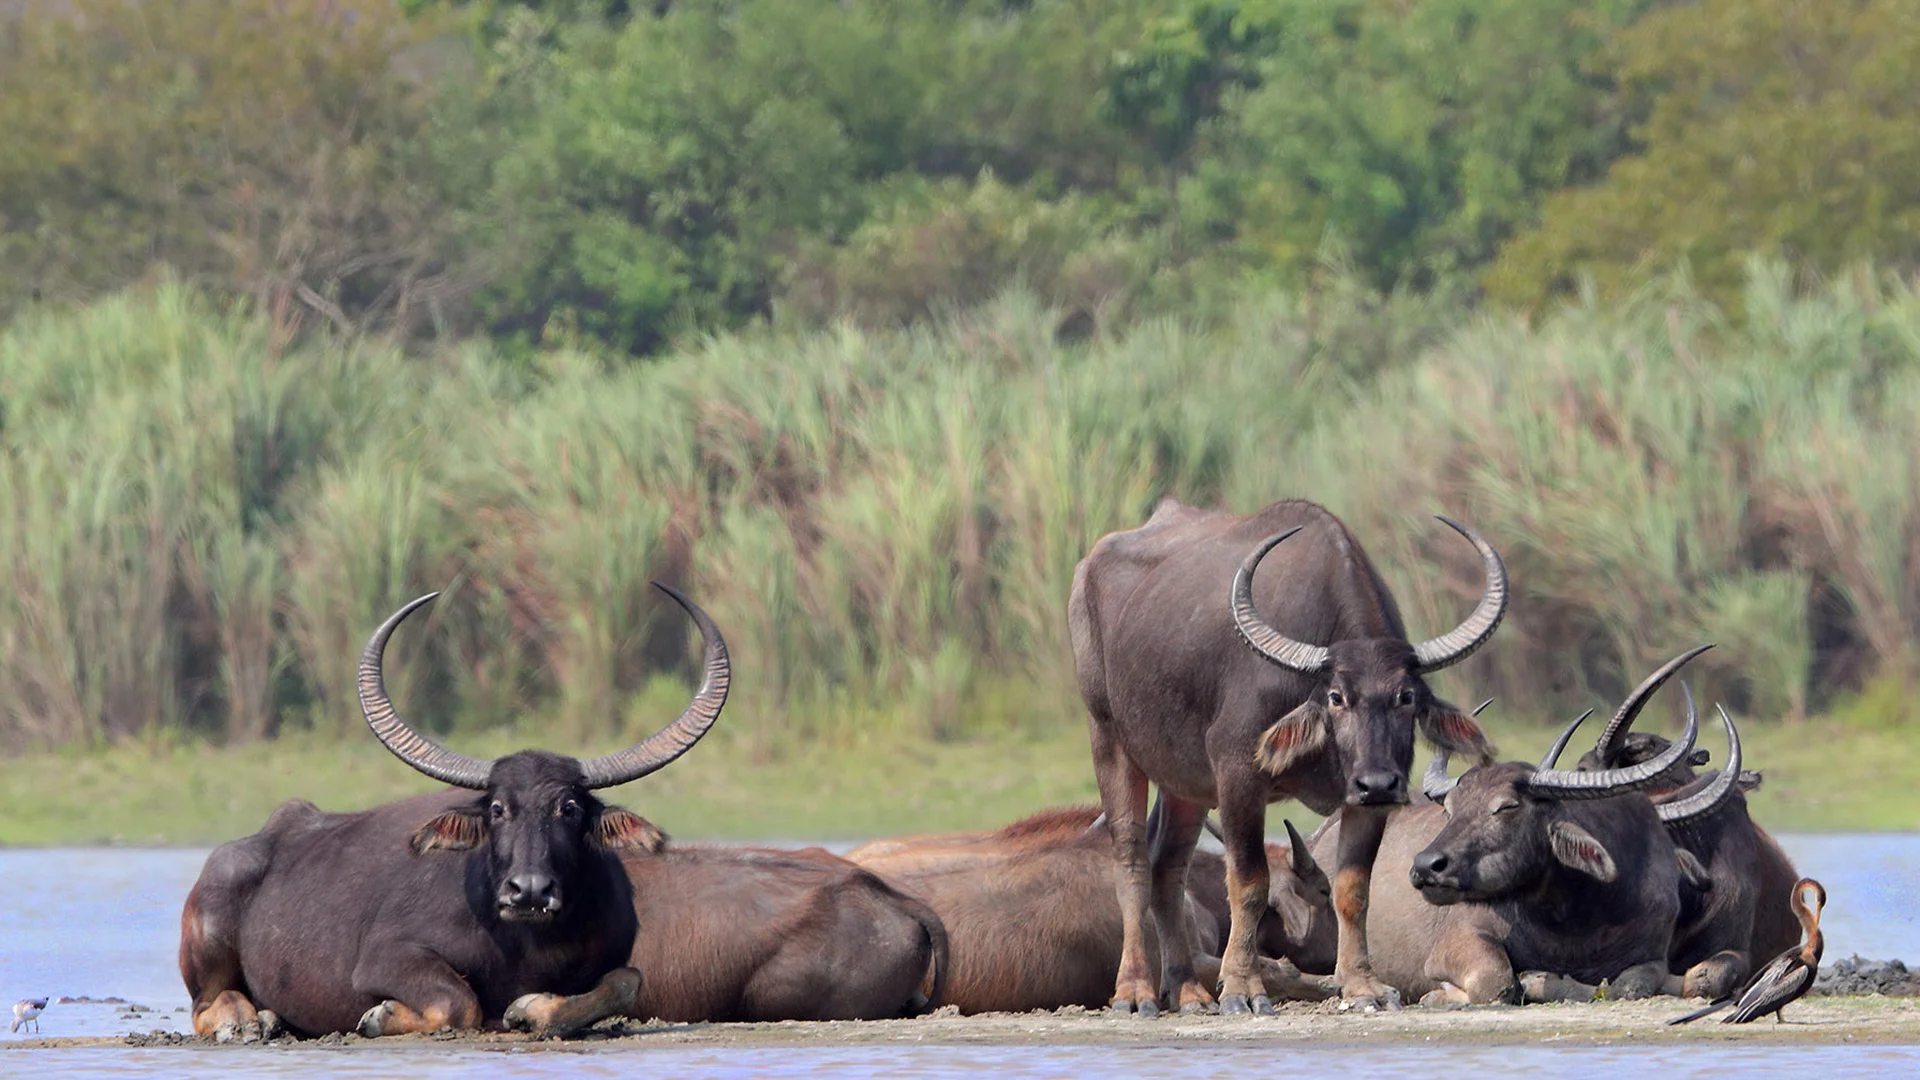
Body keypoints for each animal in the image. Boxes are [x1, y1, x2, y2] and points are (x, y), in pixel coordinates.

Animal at [178, 584, 725, 1037]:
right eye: (499, 808)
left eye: (569, 808)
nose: (529, 891)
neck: (531, 945)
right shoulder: (386, 958)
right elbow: (458, 1002)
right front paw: (381, 1016)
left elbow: (625, 983)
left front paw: (533, 1010)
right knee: (207, 1003)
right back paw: (245, 1021)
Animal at [1075, 495, 1505, 1006]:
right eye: (1336, 696)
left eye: (1407, 696)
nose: (1378, 783)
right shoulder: (1238, 776)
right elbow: (1250, 882)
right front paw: (1242, 987)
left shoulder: (1364, 802)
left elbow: (1353, 888)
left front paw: (1363, 984)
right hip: (1108, 737)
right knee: (1132, 861)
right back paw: (1136, 991)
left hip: (1184, 781)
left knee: (1168, 866)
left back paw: (1187, 991)